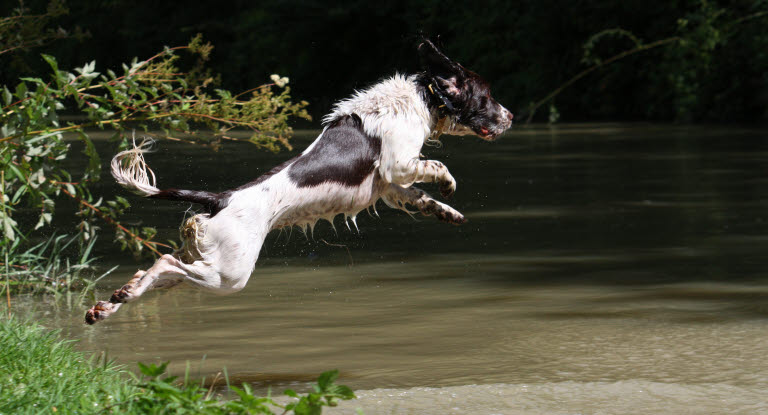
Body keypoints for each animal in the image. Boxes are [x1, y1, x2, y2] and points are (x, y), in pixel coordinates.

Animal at [84, 39, 512, 324]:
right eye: (487, 95)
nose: (510, 116)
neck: (423, 97)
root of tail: (219, 198)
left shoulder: (390, 187)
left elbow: (421, 198)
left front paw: (448, 212)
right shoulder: (398, 165)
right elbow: (437, 165)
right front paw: (449, 184)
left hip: (205, 260)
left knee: (152, 274)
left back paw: (107, 305)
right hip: (229, 273)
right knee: (164, 262)